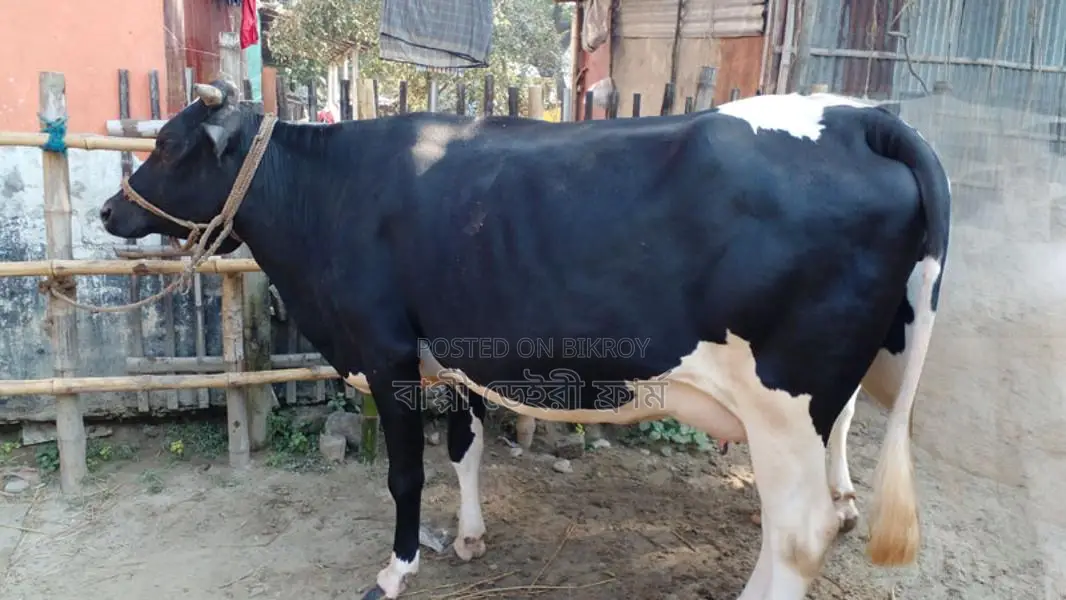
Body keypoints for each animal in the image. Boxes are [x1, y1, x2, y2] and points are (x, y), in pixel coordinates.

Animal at [98, 79, 949, 600]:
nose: (110, 210)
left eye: (168, 145)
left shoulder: (384, 350)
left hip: (783, 403)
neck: (330, 191)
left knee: (800, 529)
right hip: (827, 394)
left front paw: (396, 569)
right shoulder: (459, 351)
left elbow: (406, 476)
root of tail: (861, 117)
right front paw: (470, 538)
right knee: (809, 511)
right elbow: (464, 450)